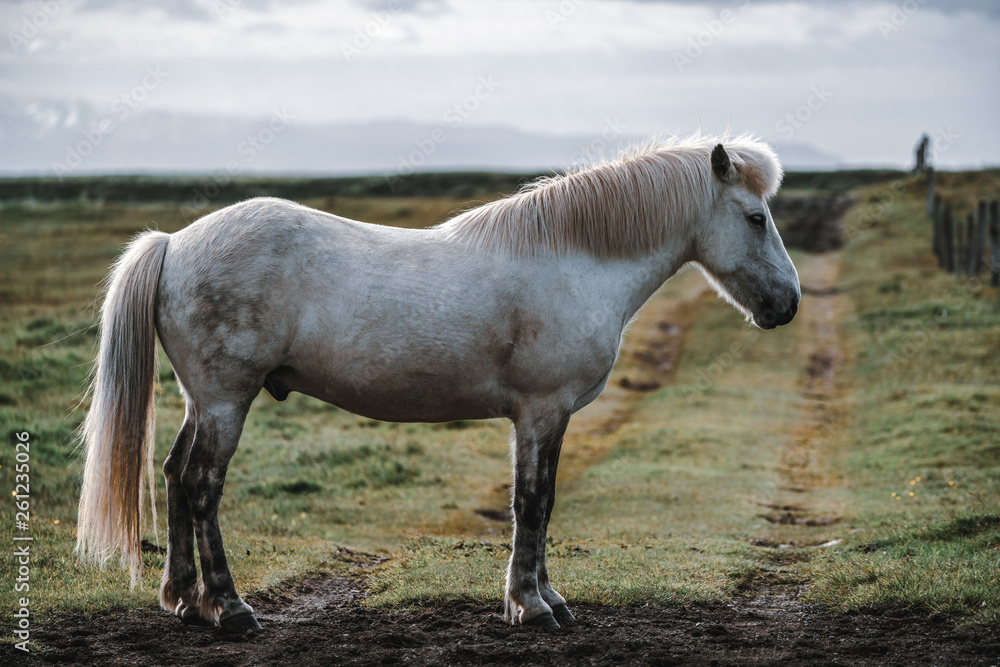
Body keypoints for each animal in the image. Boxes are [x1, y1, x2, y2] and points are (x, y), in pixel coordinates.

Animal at [76, 136, 796, 636]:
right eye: (756, 217)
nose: (787, 305)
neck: (575, 259)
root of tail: (175, 242)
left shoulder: (547, 416)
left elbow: (541, 502)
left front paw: (545, 598)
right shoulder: (542, 411)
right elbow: (532, 502)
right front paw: (531, 606)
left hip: (203, 402)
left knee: (174, 475)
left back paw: (184, 600)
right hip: (227, 400)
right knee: (201, 485)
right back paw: (230, 609)